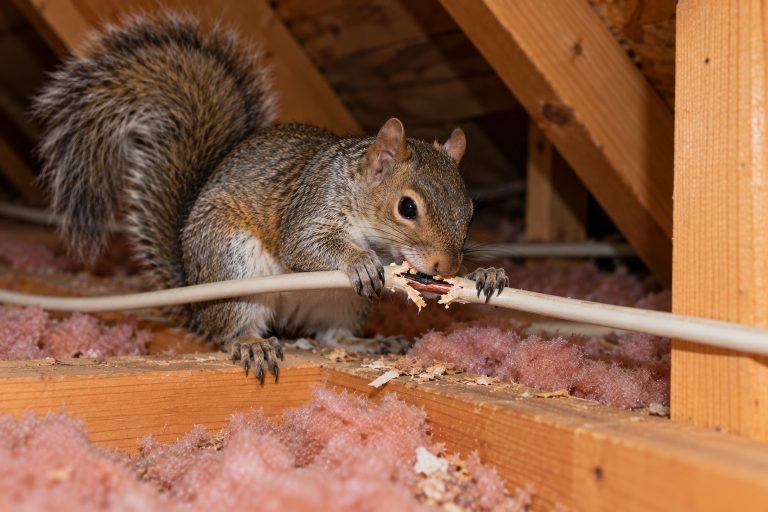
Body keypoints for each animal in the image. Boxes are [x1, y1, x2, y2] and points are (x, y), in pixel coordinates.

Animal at [34, 13, 508, 382]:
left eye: (470, 213)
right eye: (407, 207)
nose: (446, 266)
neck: (360, 199)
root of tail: (195, 295)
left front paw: (486, 274)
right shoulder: (313, 202)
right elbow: (303, 245)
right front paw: (359, 261)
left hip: (343, 304)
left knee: (333, 334)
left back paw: (368, 343)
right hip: (233, 264)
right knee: (230, 328)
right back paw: (251, 342)